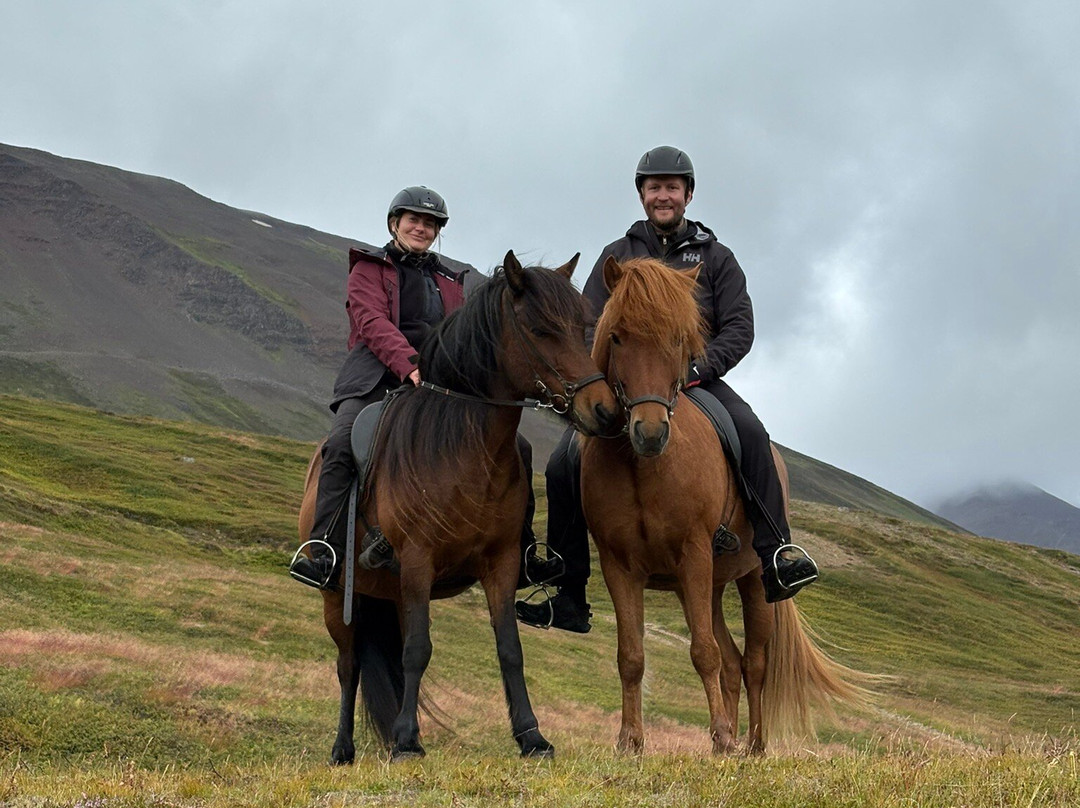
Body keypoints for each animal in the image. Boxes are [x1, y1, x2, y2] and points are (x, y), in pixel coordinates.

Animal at [298, 251, 619, 763]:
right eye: (540, 330)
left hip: (389, 592)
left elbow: (509, 649)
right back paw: (343, 749)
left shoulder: (501, 563)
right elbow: (417, 651)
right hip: (338, 593)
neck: (463, 447)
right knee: (348, 666)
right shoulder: (417, 559)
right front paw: (407, 742)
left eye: (582, 327)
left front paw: (531, 736)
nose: (605, 411)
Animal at [580, 255, 867, 754]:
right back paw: (732, 742)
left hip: (752, 582)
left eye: (679, 338)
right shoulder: (620, 566)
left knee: (753, 663)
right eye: (616, 336)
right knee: (733, 661)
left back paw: (751, 745)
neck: (644, 469)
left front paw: (719, 734)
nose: (649, 433)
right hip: (708, 587)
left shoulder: (694, 553)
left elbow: (703, 653)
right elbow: (632, 655)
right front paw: (631, 741)